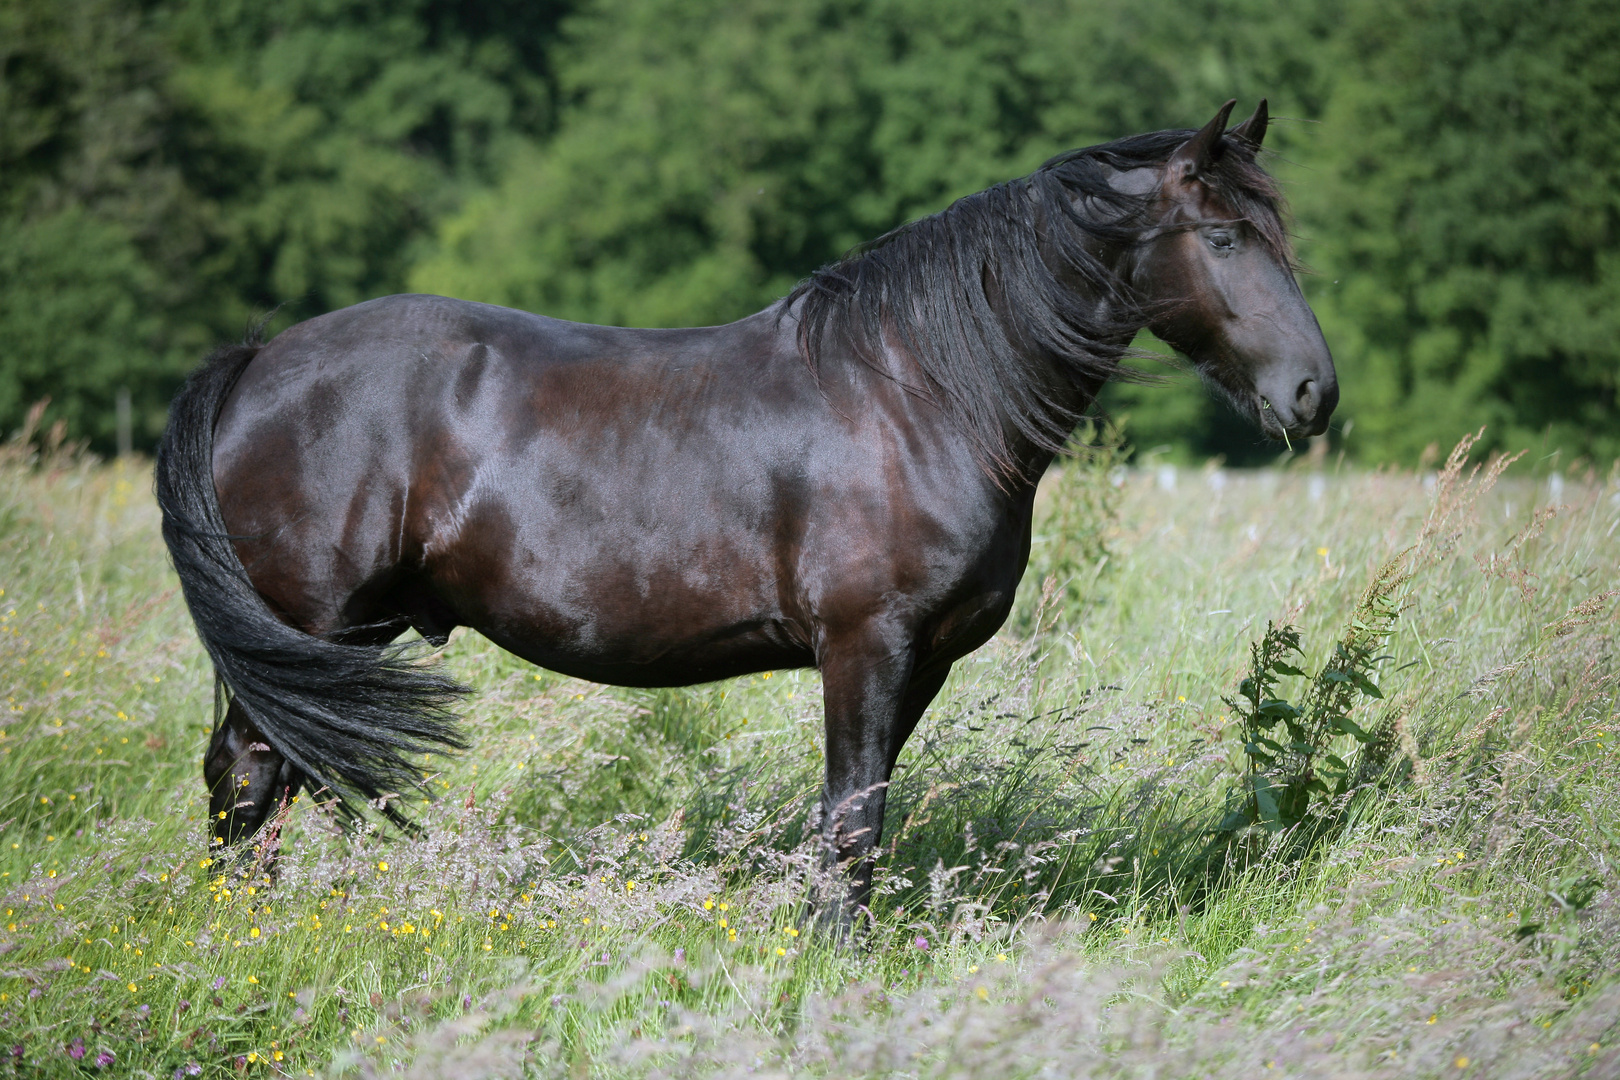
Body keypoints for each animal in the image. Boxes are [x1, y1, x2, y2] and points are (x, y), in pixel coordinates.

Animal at [157, 99, 1334, 919]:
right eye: (1223, 240)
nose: (1315, 395)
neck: (918, 394)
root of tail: (258, 363)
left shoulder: (920, 662)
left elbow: (857, 813)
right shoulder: (865, 646)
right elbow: (854, 817)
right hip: (309, 625)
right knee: (249, 772)